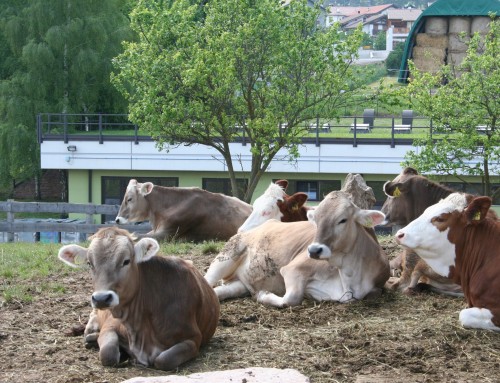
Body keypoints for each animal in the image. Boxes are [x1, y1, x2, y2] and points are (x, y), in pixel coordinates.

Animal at [58, 226, 219, 370]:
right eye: (89, 263)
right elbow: (108, 354)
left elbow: (164, 360)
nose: (102, 298)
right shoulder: (110, 325)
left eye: (126, 261)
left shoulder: (193, 338)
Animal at [204, 192, 390, 308]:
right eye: (315, 220)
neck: (349, 278)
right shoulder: (292, 269)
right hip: (227, 256)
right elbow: (291, 298)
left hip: (241, 283)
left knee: (220, 290)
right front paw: (263, 295)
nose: (314, 250)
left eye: (342, 220)